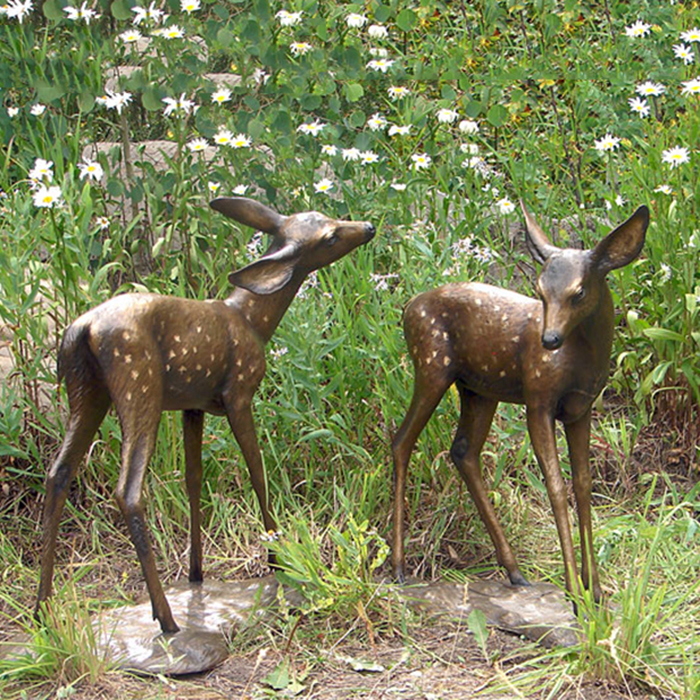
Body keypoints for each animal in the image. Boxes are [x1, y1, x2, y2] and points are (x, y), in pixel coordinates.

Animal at [35, 196, 376, 634]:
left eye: (326, 218)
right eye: (330, 236)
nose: (367, 227)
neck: (252, 320)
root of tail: (82, 329)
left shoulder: (192, 405)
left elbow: (193, 479)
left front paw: (196, 575)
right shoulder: (238, 394)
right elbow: (257, 470)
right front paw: (278, 561)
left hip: (86, 391)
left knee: (58, 473)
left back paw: (43, 609)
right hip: (138, 385)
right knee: (127, 490)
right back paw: (165, 619)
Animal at [391, 202, 648, 604]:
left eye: (579, 291)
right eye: (540, 289)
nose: (549, 340)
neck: (581, 362)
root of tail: (406, 308)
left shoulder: (581, 409)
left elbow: (583, 484)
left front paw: (596, 589)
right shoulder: (538, 400)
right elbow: (556, 486)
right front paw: (574, 590)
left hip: (478, 390)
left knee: (463, 451)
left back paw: (514, 571)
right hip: (432, 366)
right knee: (402, 441)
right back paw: (399, 567)